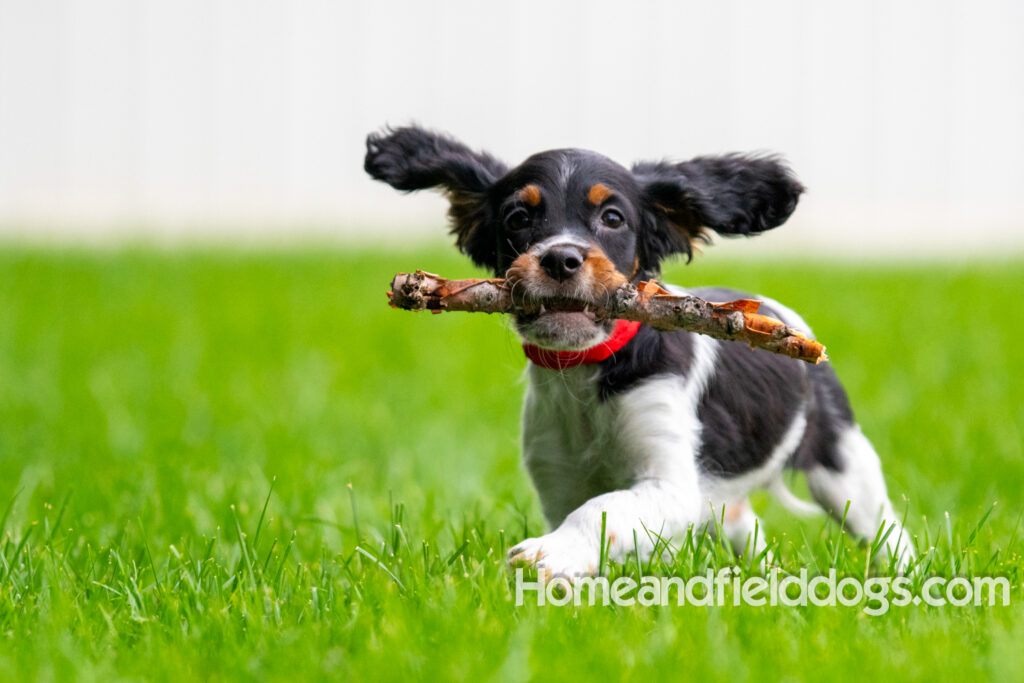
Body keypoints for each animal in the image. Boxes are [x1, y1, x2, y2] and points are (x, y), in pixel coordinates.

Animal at [364, 126, 917, 577]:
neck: (585, 375)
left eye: (612, 217)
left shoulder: (668, 481)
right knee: (746, 525)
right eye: (518, 217)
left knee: (885, 527)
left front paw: (547, 554)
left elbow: (604, 511)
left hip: (842, 462)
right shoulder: (558, 477)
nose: (561, 259)